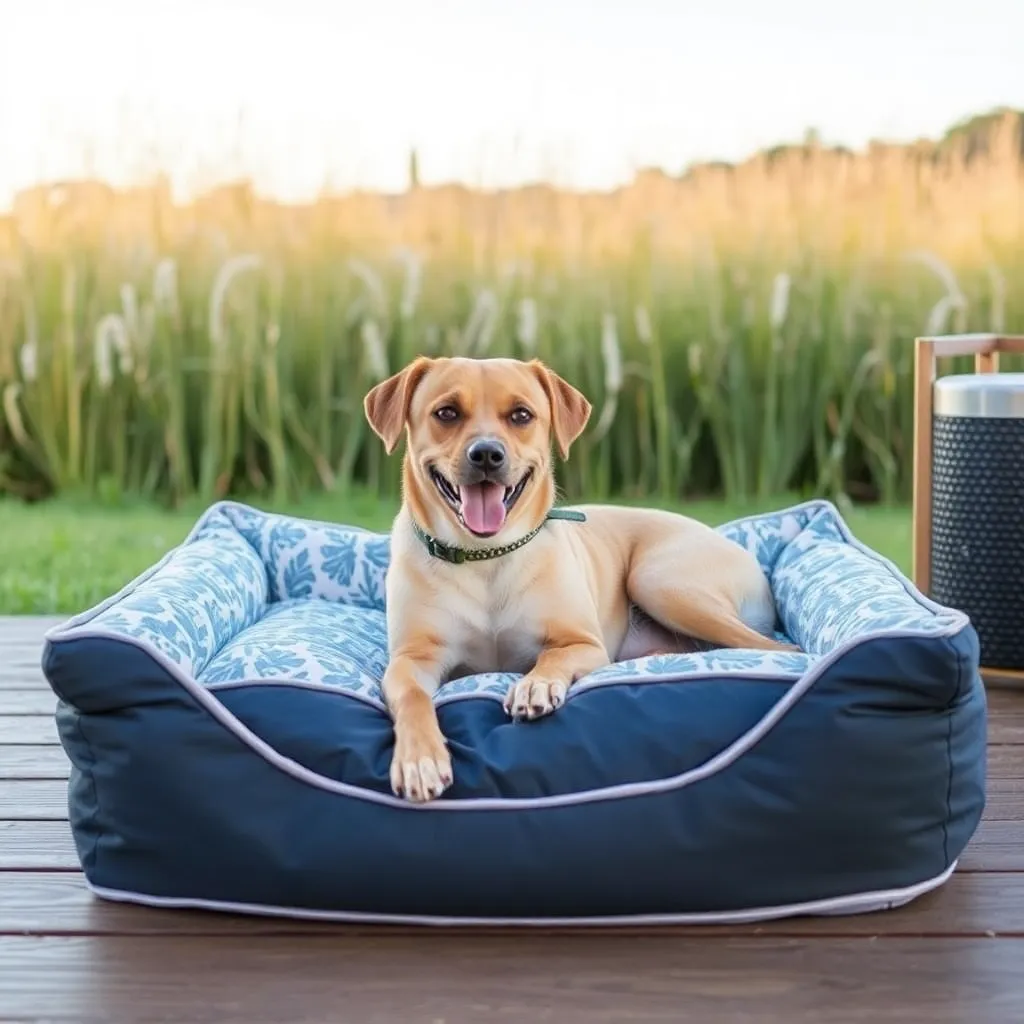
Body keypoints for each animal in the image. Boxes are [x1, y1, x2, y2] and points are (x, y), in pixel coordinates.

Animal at [364, 356, 794, 802]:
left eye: (521, 415)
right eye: (446, 412)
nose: (486, 454)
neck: (486, 558)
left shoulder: (584, 644)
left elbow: (553, 657)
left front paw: (535, 686)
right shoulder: (411, 660)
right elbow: (412, 696)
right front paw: (419, 760)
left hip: (659, 580)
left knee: (783, 648)